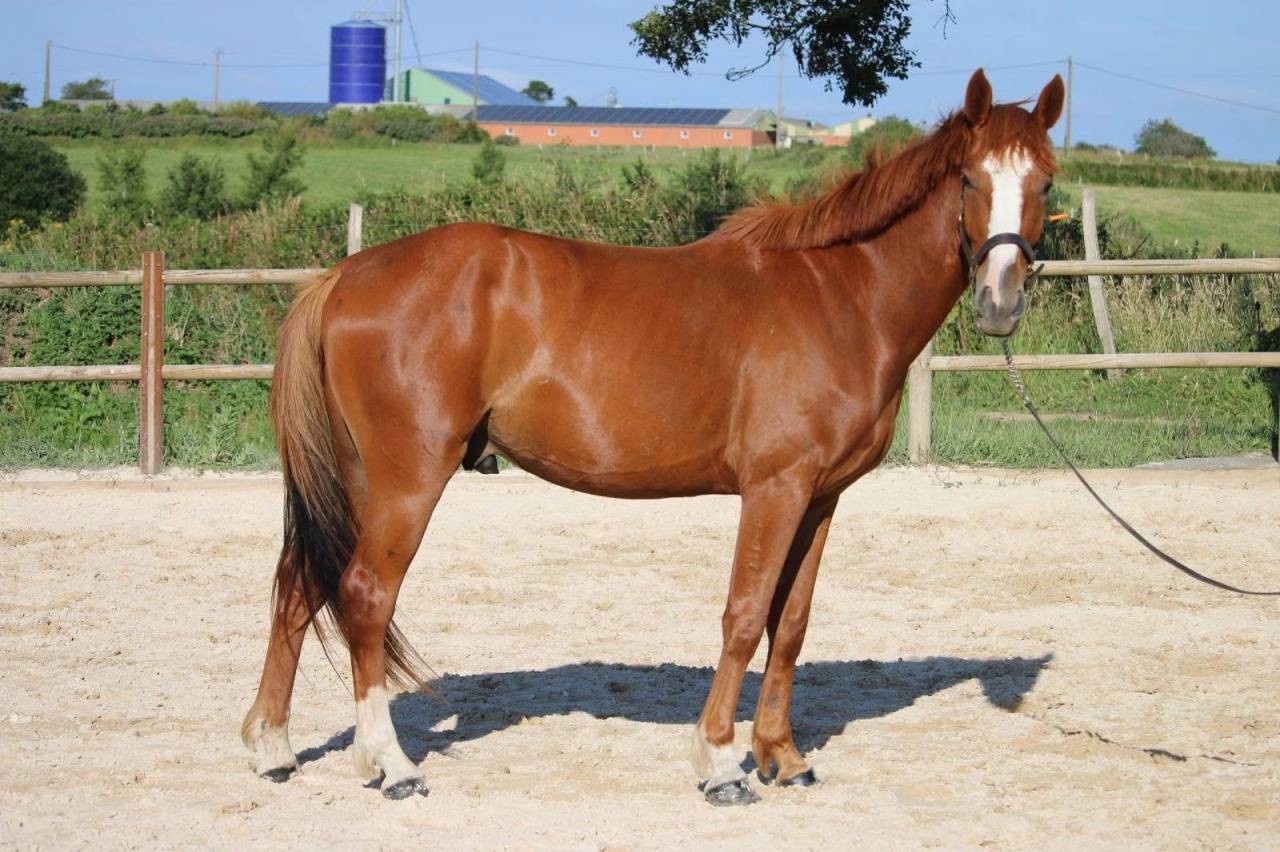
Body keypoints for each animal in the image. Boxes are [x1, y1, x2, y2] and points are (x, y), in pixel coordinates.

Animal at [241, 68, 1064, 806]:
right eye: (969, 177)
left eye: (1048, 184)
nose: (1000, 302)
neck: (840, 297)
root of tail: (344, 275)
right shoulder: (776, 487)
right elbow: (744, 615)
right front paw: (723, 762)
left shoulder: (822, 497)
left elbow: (791, 623)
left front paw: (783, 756)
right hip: (408, 480)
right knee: (364, 595)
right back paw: (392, 764)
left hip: (357, 478)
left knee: (300, 585)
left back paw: (273, 748)